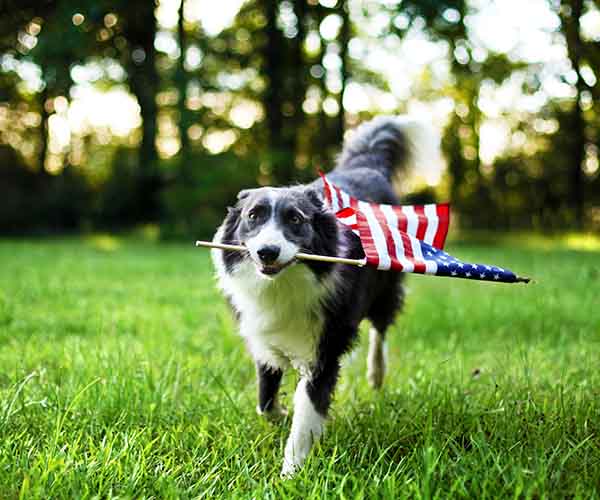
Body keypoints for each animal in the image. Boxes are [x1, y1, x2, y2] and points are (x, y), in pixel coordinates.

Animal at [213, 114, 438, 476]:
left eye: (295, 219)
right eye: (253, 216)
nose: (267, 252)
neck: (284, 282)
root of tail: (366, 165)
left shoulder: (325, 347)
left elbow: (307, 414)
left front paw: (290, 474)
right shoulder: (263, 334)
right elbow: (265, 399)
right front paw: (279, 416)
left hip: (386, 287)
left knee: (380, 328)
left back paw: (376, 374)